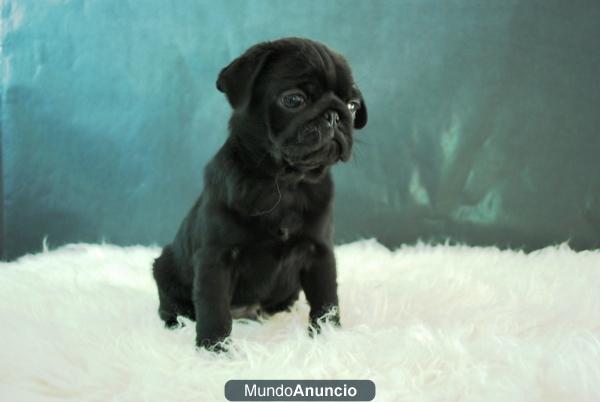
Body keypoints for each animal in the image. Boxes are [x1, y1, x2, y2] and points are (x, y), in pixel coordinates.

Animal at [151, 38, 366, 352]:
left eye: (353, 106)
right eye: (294, 100)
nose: (336, 115)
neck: (285, 183)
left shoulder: (320, 252)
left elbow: (326, 299)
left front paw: (327, 335)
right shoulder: (215, 258)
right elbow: (213, 306)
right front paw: (214, 349)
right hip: (165, 269)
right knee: (171, 305)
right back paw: (175, 323)